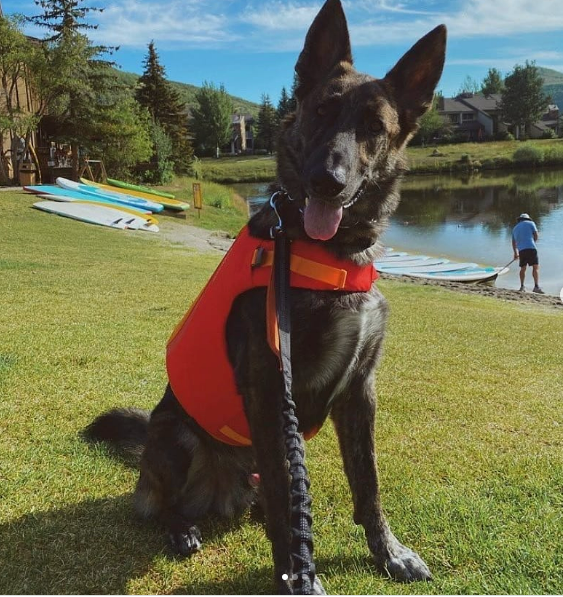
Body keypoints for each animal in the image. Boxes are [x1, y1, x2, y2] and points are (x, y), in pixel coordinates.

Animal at [83, 1, 446, 592]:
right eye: (321, 110)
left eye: (374, 128)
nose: (326, 181)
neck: (329, 254)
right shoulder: (274, 391)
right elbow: (285, 498)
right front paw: (298, 575)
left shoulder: (360, 393)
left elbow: (367, 485)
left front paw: (388, 552)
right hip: (175, 437)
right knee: (165, 504)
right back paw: (181, 527)